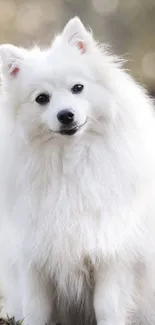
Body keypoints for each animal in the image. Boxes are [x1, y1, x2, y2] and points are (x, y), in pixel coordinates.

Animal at [0, 17, 155, 324]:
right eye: (42, 98)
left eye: (78, 88)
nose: (66, 115)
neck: (71, 162)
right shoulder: (34, 258)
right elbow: (36, 310)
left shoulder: (111, 255)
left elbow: (107, 307)